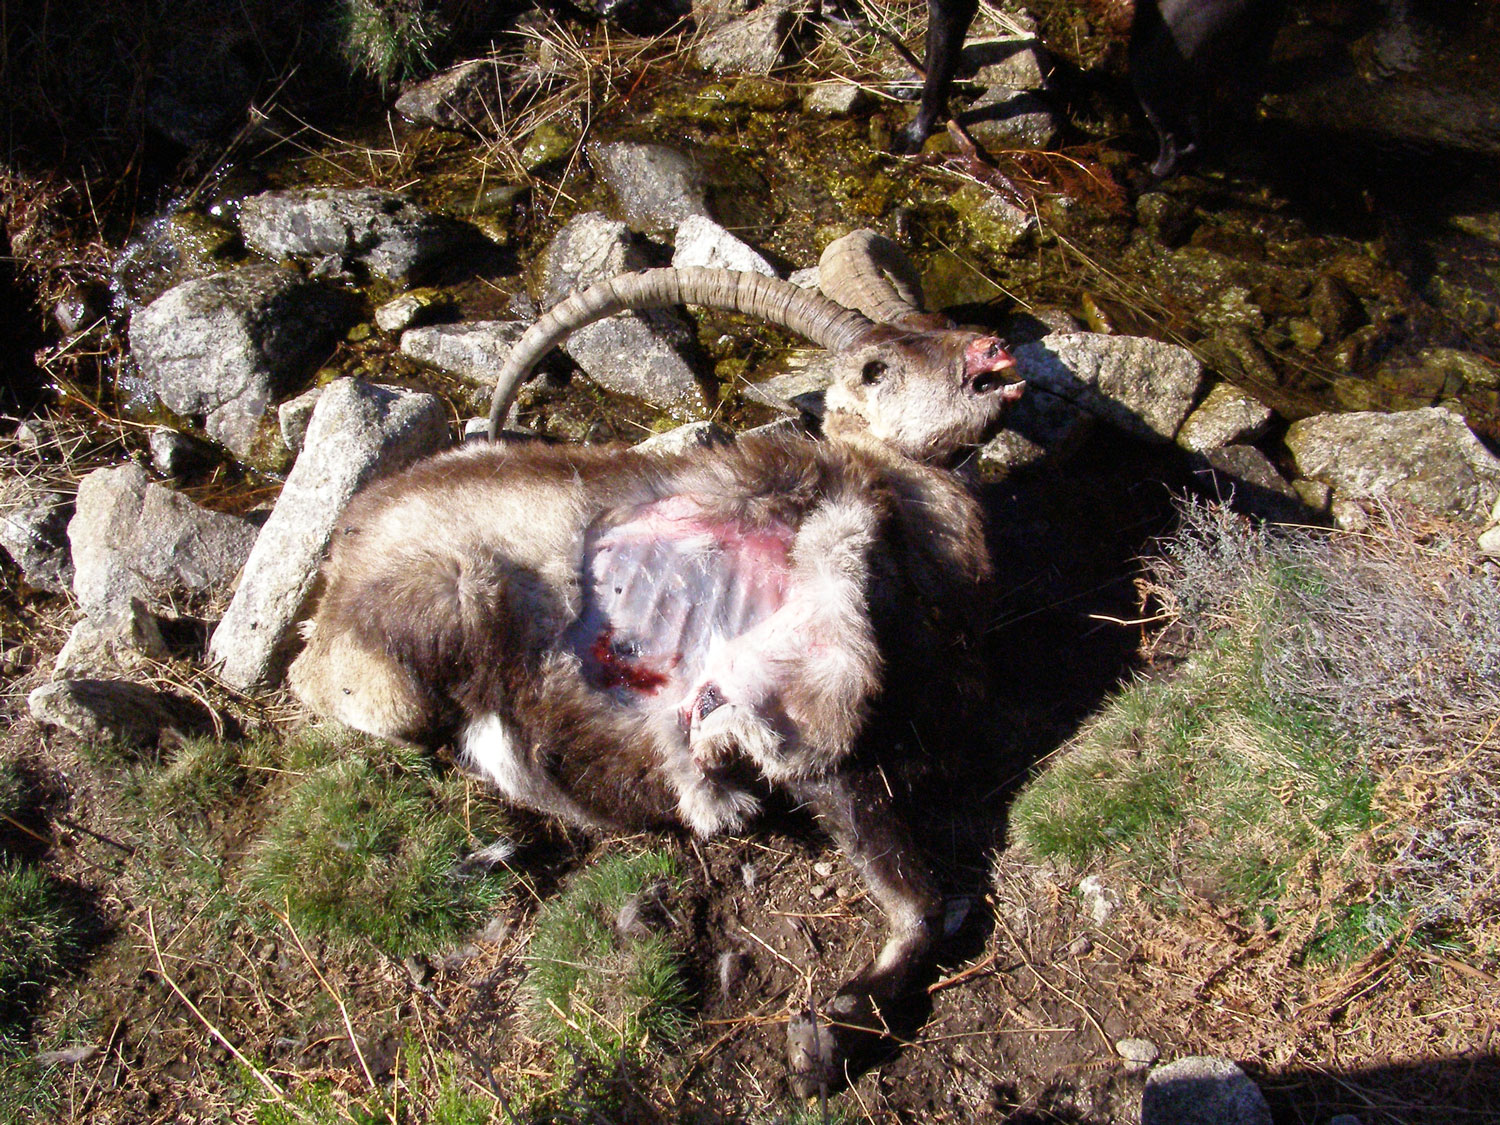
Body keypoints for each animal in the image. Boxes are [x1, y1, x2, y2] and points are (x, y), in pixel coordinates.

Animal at [288, 234, 1023, 1094]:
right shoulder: (821, 725)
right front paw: (826, 1038)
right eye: (876, 367)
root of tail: (343, 555)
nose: (989, 350)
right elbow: (922, 902)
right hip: (429, 628)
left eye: (938, 325)